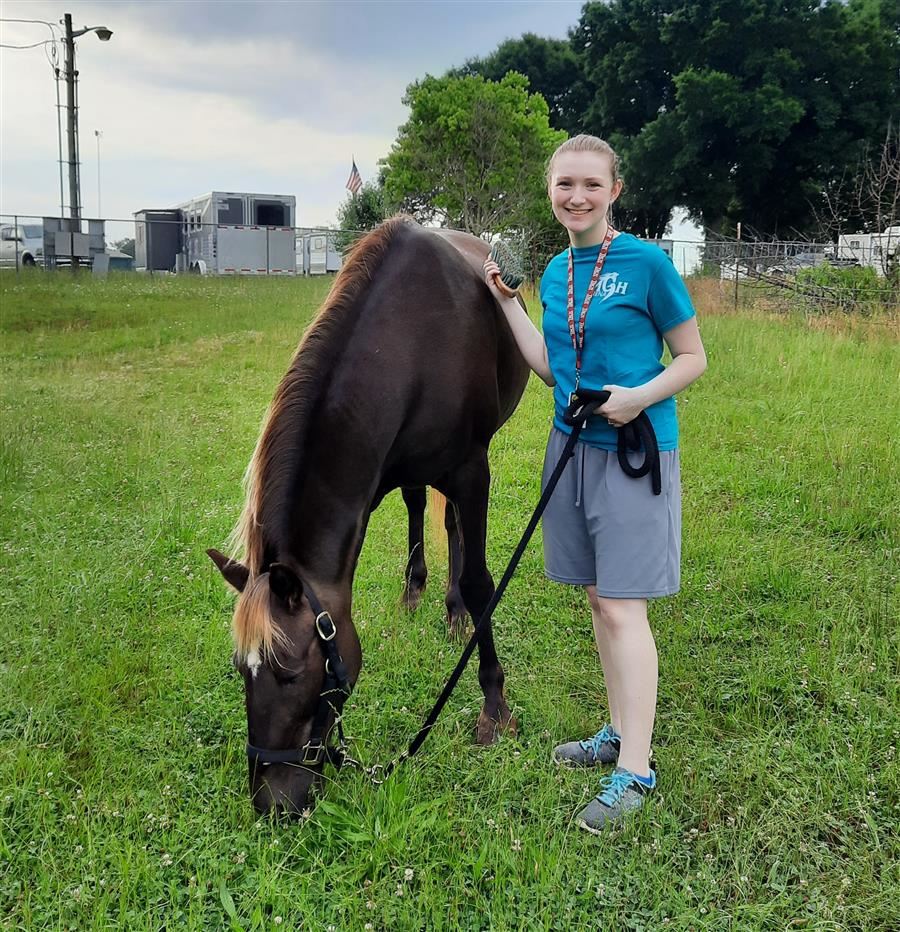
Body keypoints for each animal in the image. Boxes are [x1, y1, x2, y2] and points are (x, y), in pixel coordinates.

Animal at [207, 218, 532, 816]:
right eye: (242, 669)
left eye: (290, 672)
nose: (272, 803)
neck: (409, 340)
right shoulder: (380, 476)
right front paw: (421, 594)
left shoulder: (472, 470)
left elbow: (482, 583)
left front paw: (494, 708)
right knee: (424, 512)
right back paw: (423, 595)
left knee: (452, 527)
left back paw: (454, 611)